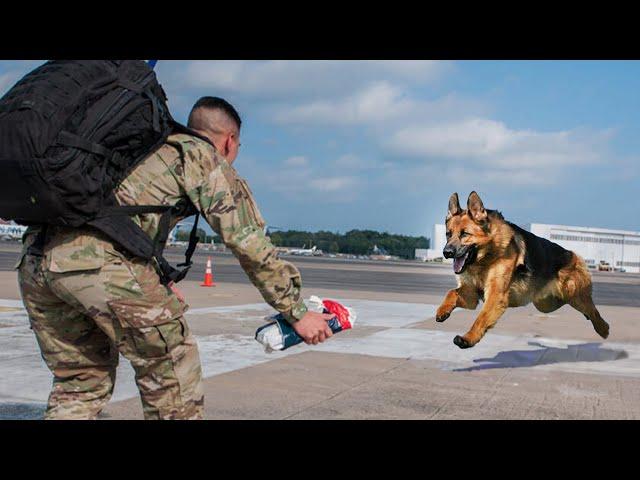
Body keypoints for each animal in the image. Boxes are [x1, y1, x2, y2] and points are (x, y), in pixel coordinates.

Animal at [436, 191, 608, 348]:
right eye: (448, 234)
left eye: (465, 234)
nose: (446, 252)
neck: (486, 257)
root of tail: (573, 255)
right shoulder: (471, 295)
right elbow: (452, 292)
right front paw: (442, 311)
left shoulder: (495, 296)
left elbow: (481, 318)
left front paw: (468, 338)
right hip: (546, 304)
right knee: (580, 309)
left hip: (574, 295)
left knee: (593, 310)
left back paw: (603, 328)